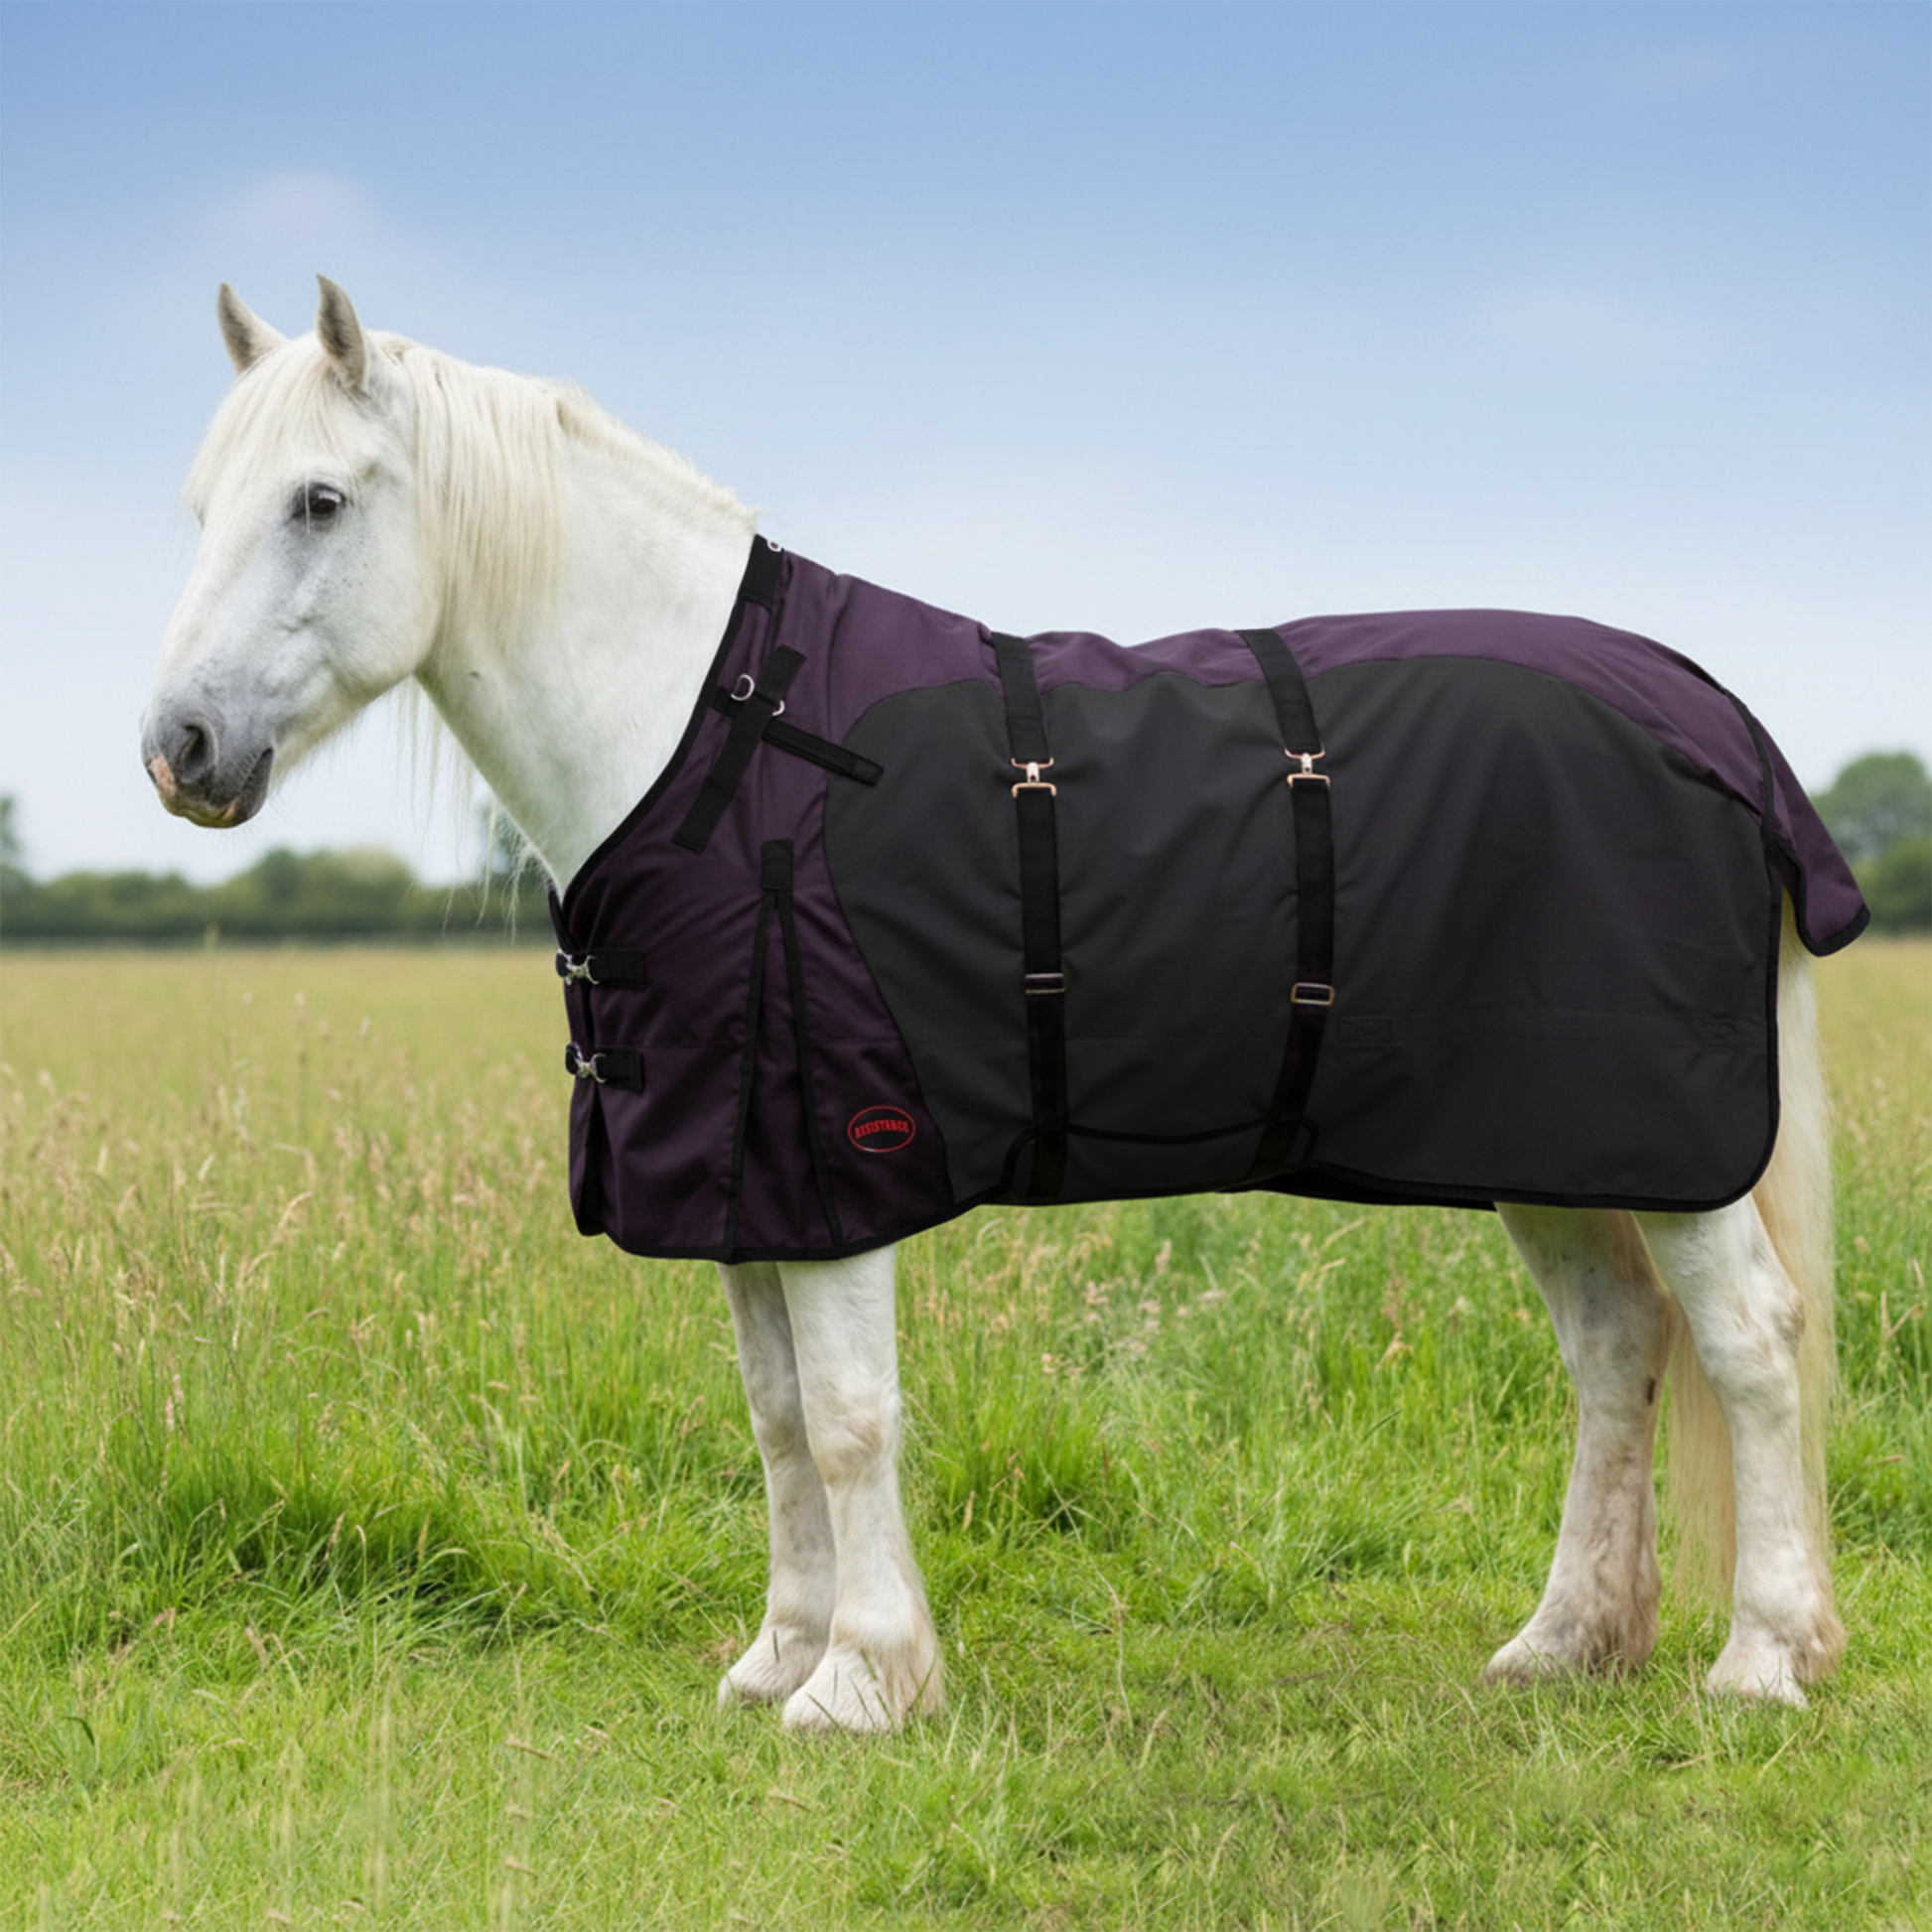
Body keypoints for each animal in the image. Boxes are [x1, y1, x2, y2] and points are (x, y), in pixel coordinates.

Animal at [142, 277, 1853, 1733]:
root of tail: (1712, 722)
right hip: (1550, 1140)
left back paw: (1763, 1656)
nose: (178, 748)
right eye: (203, 506)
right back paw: (1567, 1641)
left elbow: (846, 1416)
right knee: (1614, 1347)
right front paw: (780, 1657)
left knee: (1749, 1342)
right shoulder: (736, 1179)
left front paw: (861, 1680)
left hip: (1665, 1145)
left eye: (319, 500)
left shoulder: (833, 1161)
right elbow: (775, 1419)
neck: (719, 746)